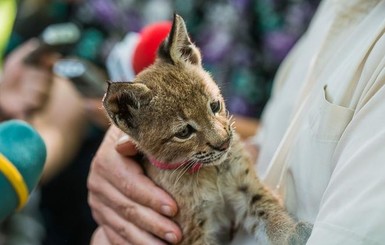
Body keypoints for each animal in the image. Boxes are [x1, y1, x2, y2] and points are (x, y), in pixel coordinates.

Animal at [103, 14, 312, 245]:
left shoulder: (244, 185)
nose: (224, 143)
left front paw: (291, 233)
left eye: (214, 106)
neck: (208, 171)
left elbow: (267, 209)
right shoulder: (193, 228)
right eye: (184, 133)